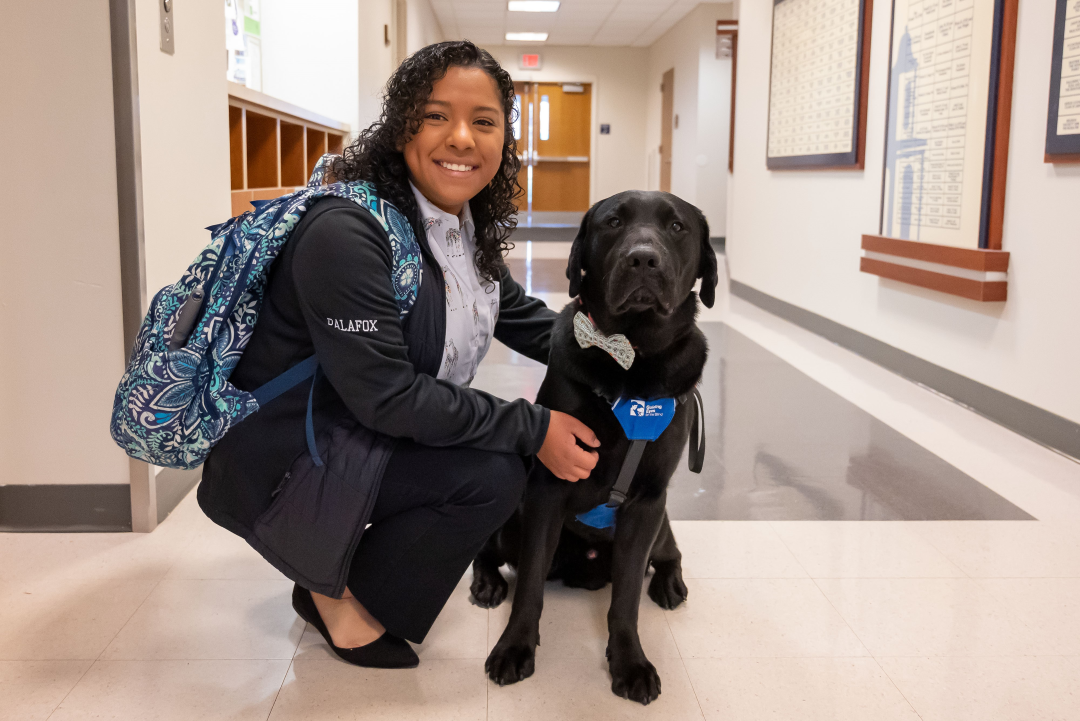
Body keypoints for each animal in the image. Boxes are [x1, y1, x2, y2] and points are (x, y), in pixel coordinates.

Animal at [473, 189, 717, 703]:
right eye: (613, 222)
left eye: (677, 227)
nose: (642, 258)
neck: (634, 361)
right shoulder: (547, 488)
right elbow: (529, 586)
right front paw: (514, 647)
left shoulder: (648, 502)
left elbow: (625, 599)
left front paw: (630, 662)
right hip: (515, 521)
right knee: (491, 550)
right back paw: (486, 583)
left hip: (661, 525)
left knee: (668, 553)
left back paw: (670, 584)